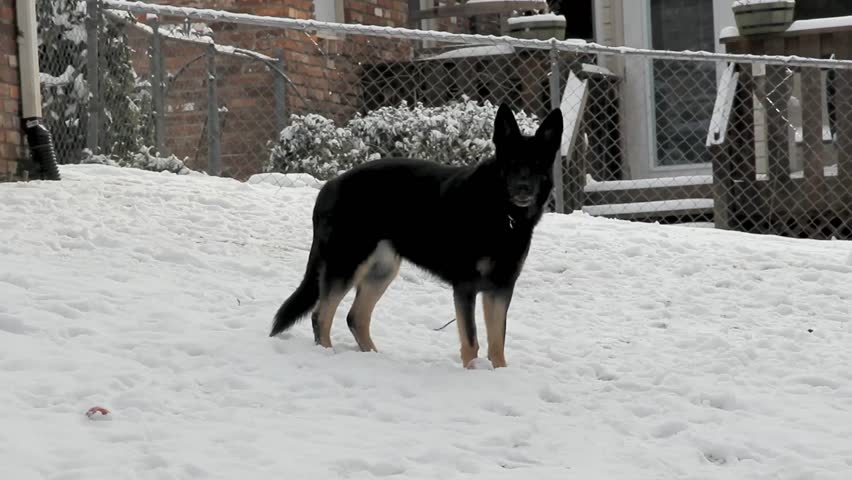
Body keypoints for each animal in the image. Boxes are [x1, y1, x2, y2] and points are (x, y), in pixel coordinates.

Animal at [270, 104, 564, 368]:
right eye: (512, 164)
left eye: (537, 165)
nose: (524, 188)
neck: (503, 214)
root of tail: (329, 185)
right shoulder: (466, 287)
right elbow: (472, 340)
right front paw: (472, 371)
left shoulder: (501, 289)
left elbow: (497, 343)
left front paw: (499, 374)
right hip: (346, 264)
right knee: (321, 315)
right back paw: (327, 354)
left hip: (381, 271)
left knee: (355, 318)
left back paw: (373, 357)